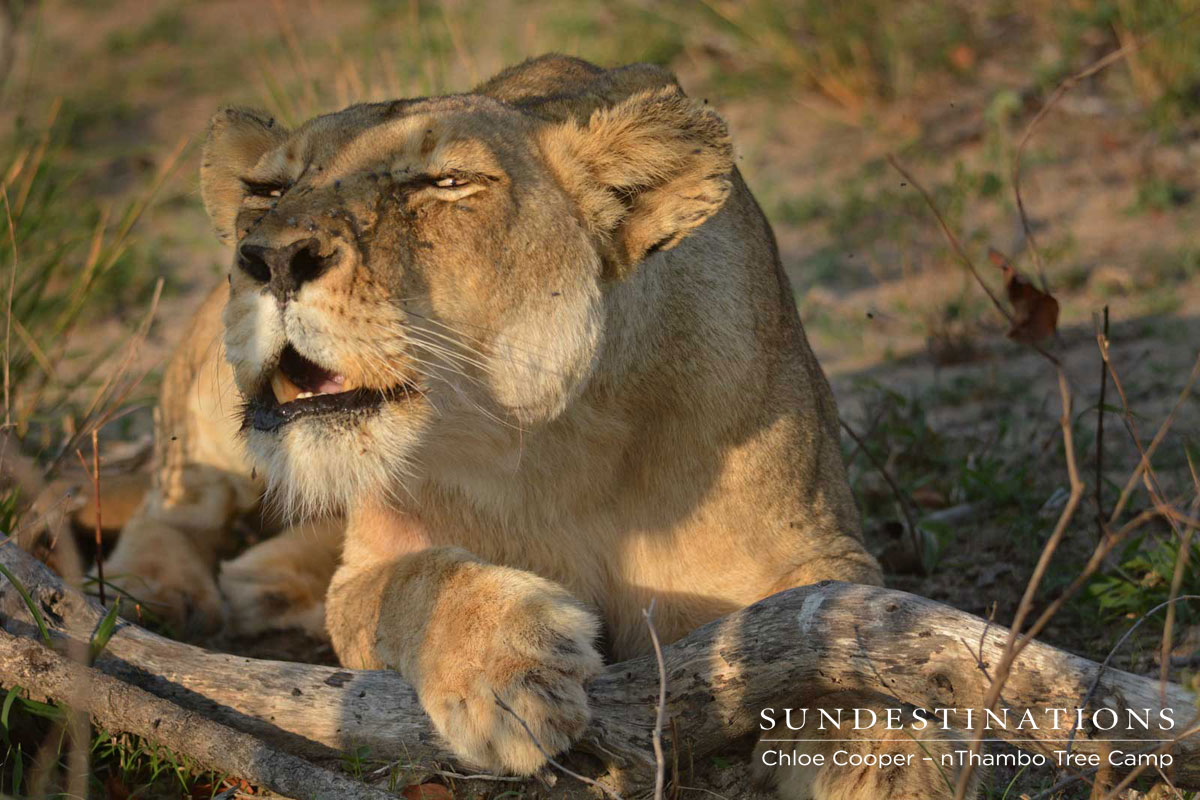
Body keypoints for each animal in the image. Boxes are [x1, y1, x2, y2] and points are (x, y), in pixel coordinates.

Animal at [98, 55, 972, 798]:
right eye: (266, 189)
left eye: (444, 181)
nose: (270, 259)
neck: (558, 447)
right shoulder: (370, 568)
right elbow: (410, 583)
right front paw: (511, 668)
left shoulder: (810, 547)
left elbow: (848, 622)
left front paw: (886, 756)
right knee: (176, 498)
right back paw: (158, 590)